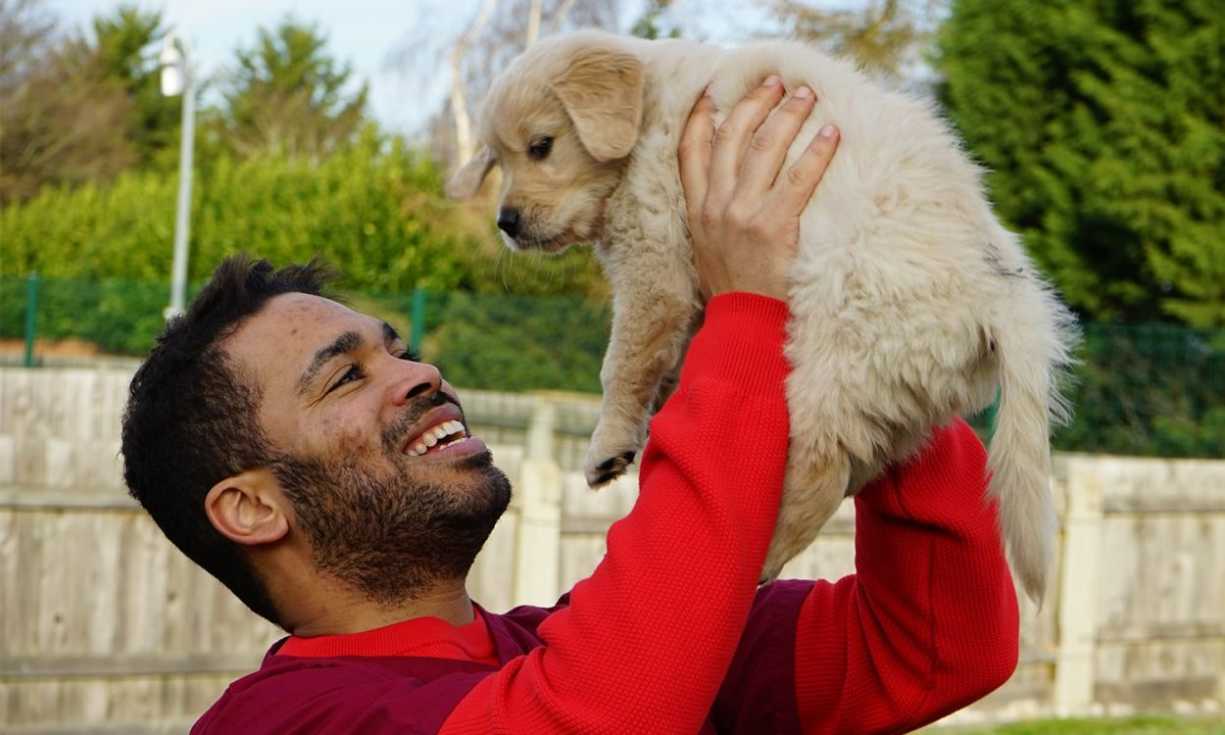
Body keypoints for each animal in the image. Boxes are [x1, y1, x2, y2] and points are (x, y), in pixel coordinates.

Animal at [448, 30, 1073, 602]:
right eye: (497, 159)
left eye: (542, 145)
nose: (506, 222)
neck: (648, 118)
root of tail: (1002, 292)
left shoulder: (654, 260)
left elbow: (623, 362)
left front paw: (610, 442)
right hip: (886, 384)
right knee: (861, 461)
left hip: (834, 359)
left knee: (822, 475)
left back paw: (754, 562)